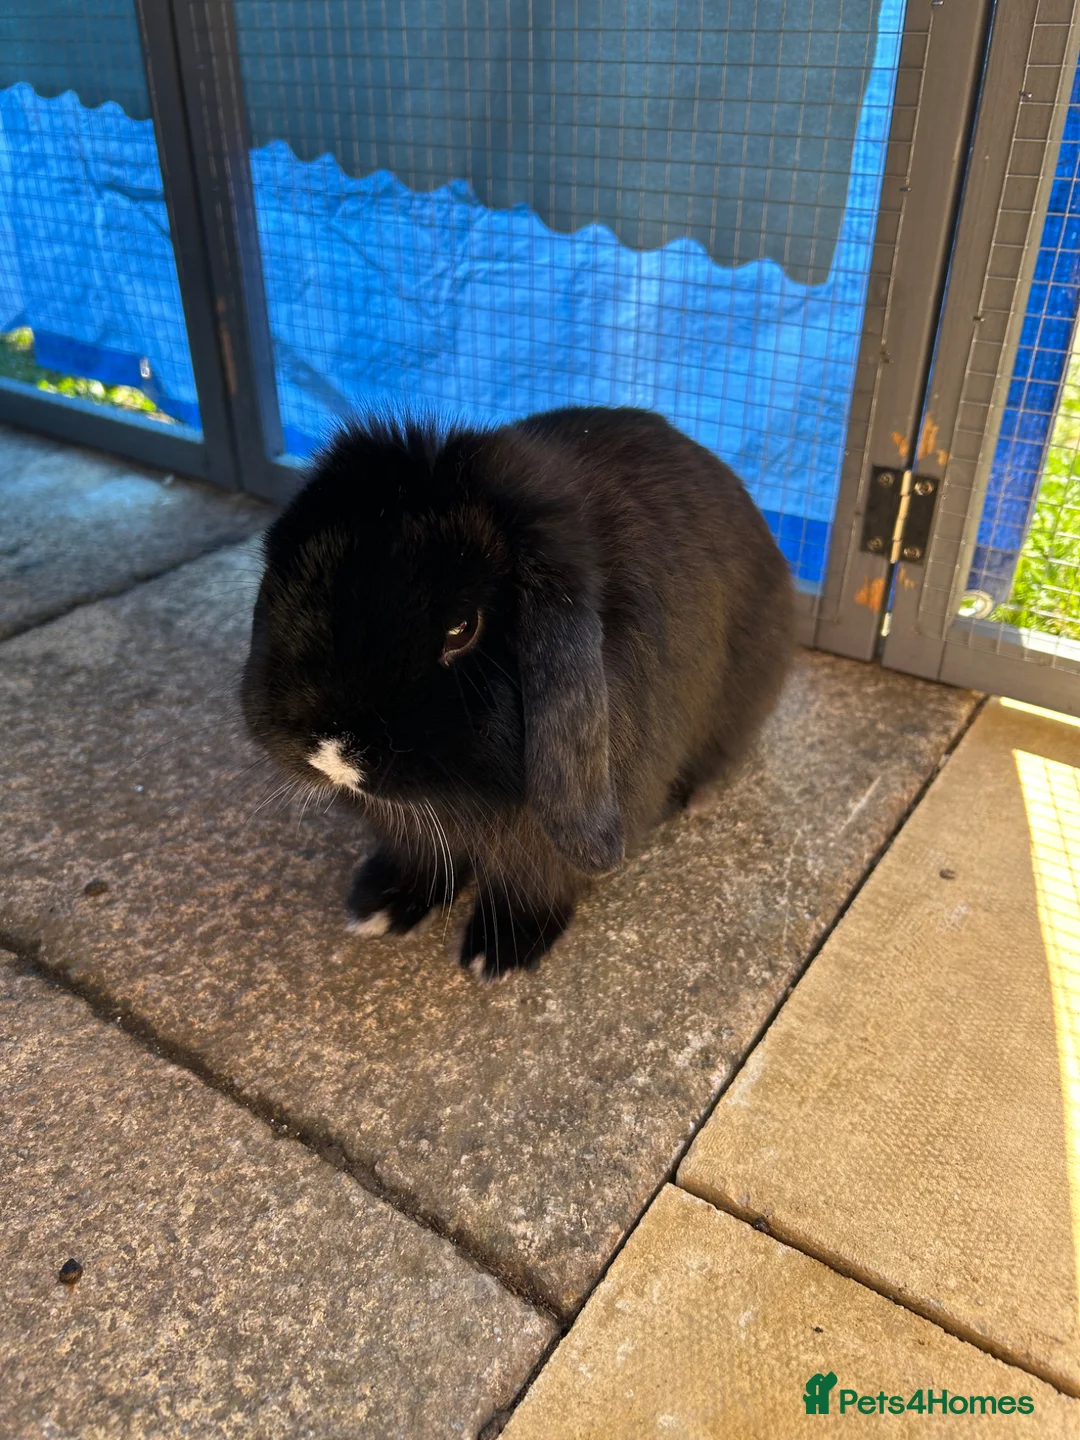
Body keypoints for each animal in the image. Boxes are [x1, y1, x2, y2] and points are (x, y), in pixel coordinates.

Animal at [241, 406, 795, 978]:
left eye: (462, 628)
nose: (332, 756)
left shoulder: (546, 837)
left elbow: (533, 883)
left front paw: (497, 953)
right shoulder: (409, 828)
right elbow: (417, 856)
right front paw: (381, 907)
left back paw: (698, 800)